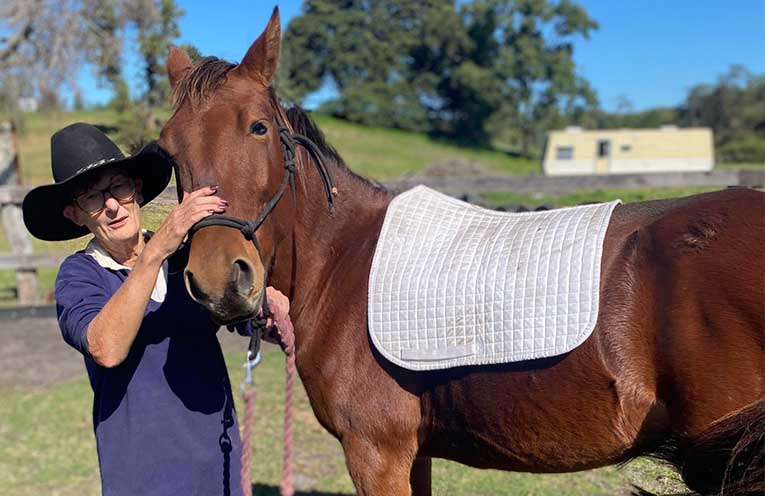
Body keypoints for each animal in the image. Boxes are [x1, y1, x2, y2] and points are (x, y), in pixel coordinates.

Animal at [157, 8, 765, 495]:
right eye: (168, 149)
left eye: (258, 128)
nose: (220, 280)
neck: (343, 266)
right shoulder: (413, 454)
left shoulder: (376, 455)